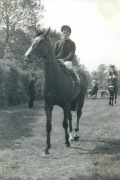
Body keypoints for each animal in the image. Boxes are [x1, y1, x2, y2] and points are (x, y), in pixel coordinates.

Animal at [24, 27, 87, 155]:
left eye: (41, 42)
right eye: (33, 41)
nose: (27, 56)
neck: (54, 77)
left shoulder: (65, 104)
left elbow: (64, 123)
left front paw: (67, 142)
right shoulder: (48, 105)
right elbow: (48, 125)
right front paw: (47, 148)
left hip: (80, 98)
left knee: (78, 114)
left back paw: (75, 134)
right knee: (70, 117)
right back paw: (71, 136)